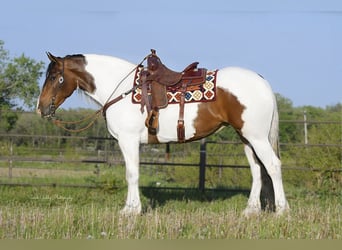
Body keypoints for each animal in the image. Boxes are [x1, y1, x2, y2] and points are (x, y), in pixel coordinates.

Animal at [36, 50, 288, 215]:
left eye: (54, 77)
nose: (40, 108)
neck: (123, 90)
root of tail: (262, 82)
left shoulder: (128, 141)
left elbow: (132, 174)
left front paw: (131, 211)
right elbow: (132, 173)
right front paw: (131, 208)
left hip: (256, 137)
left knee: (272, 165)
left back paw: (282, 210)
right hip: (246, 138)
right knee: (257, 169)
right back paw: (251, 210)